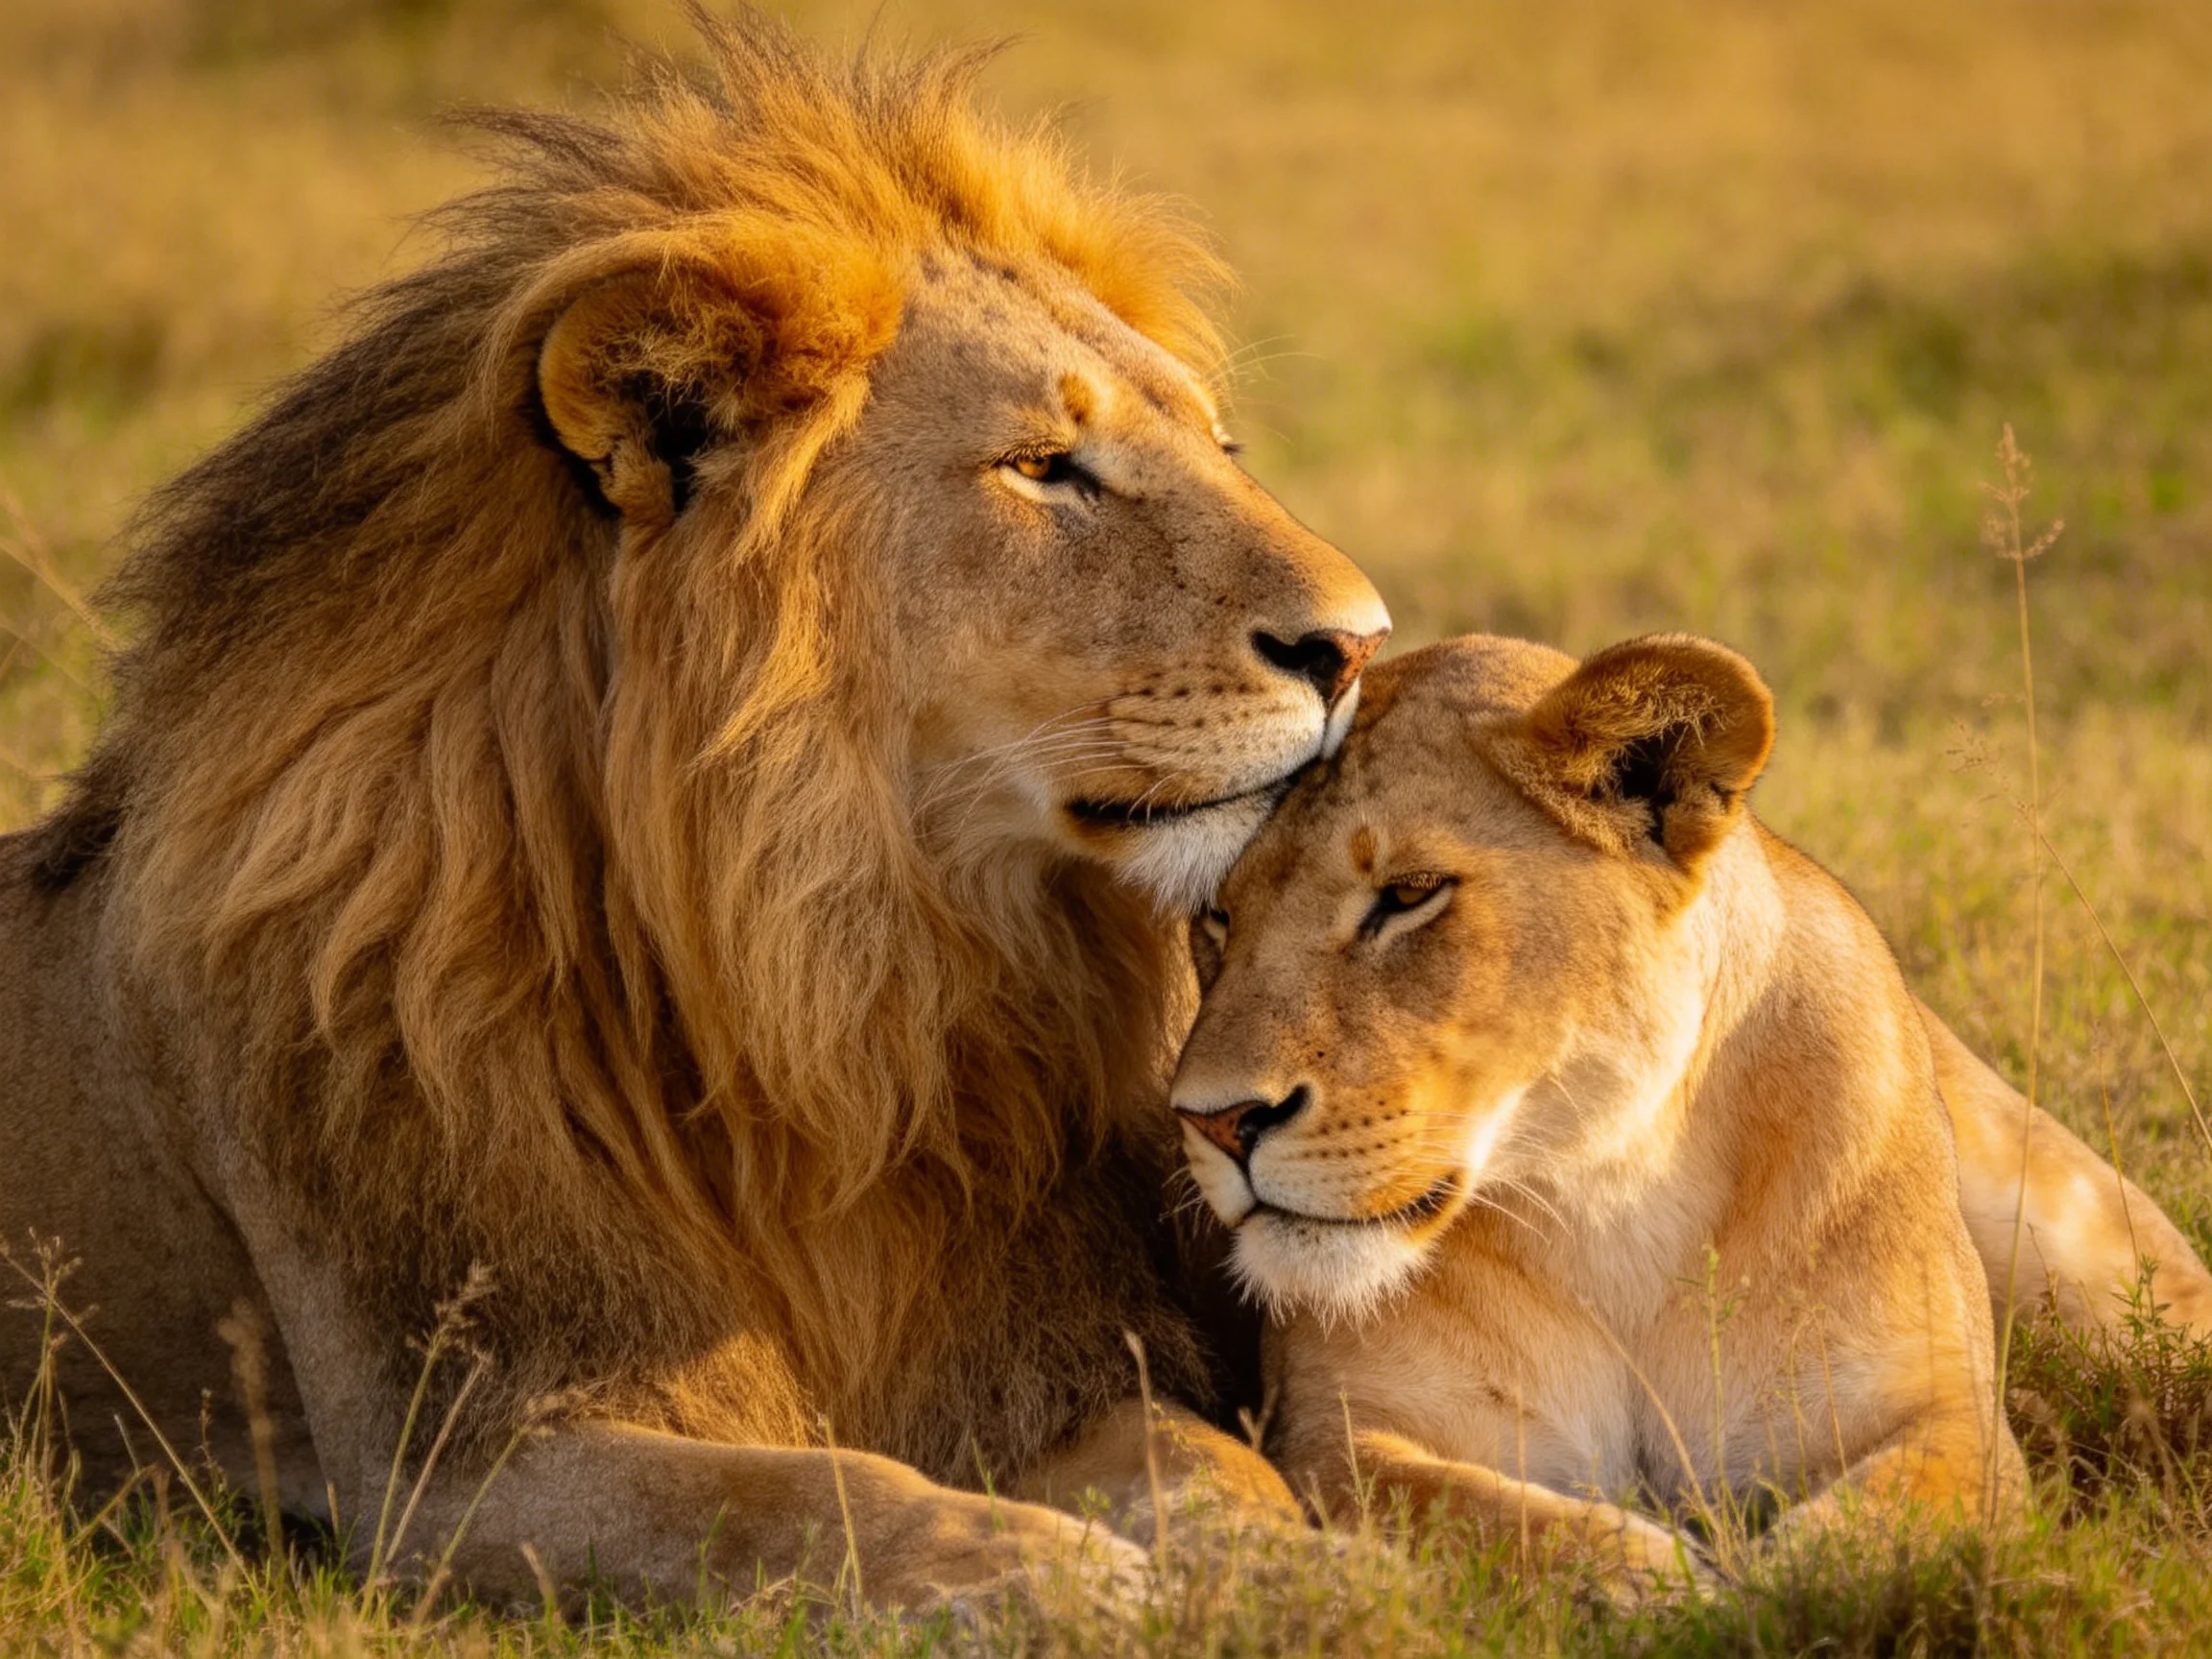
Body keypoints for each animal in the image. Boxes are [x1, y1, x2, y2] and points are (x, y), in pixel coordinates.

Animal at [0, 14, 1386, 1608]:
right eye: (1044, 468)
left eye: (1221, 447)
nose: (1361, 647)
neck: (829, 973)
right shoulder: (460, 1454)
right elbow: (807, 1496)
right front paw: (1044, 1576)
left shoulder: (1030, 1355)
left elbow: (1208, 1466)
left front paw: (1310, 1579)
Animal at [1172, 633, 2212, 1590]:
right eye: (1217, 916)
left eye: (1410, 894)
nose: (1214, 1122)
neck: (1612, 1192)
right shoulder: (1339, 1435)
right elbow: (1489, 1521)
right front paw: (1667, 1583)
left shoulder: (1942, 1413)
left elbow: (1869, 1534)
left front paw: (1769, 1589)